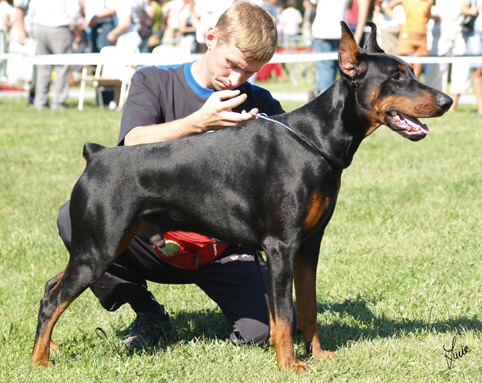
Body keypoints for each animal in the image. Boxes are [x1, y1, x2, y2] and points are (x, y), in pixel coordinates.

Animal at [31, 22, 452, 374]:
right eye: (396, 77)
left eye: (412, 71)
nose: (447, 101)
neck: (316, 140)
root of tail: (97, 154)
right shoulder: (281, 246)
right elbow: (284, 315)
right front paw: (290, 365)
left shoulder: (309, 245)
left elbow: (309, 307)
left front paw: (317, 355)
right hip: (98, 248)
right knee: (53, 301)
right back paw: (40, 362)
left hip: (105, 244)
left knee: (51, 286)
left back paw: (50, 349)